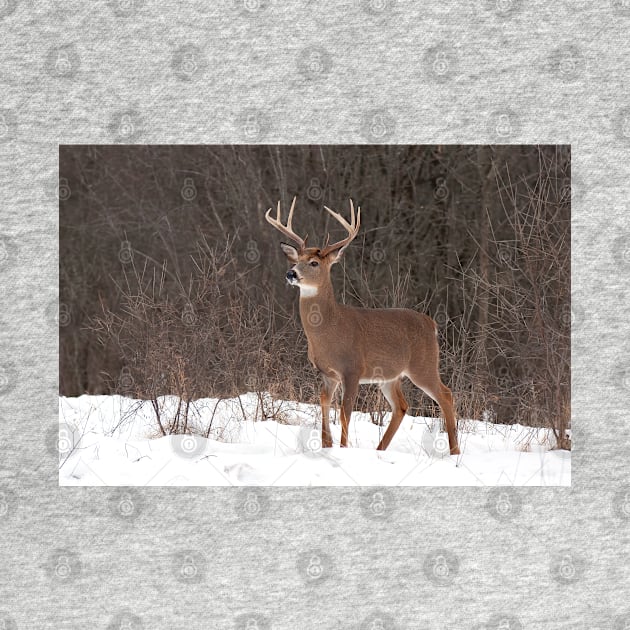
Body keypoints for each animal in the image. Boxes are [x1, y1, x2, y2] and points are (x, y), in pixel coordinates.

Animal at [264, 196, 462, 454]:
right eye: (297, 260)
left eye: (314, 262)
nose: (291, 273)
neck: (330, 329)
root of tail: (431, 324)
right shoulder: (327, 373)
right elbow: (324, 405)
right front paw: (327, 445)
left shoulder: (353, 369)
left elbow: (345, 412)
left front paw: (343, 448)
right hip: (390, 376)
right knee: (401, 405)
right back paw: (380, 449)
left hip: (423, 365)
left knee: (445, 395)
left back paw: (454, 451)